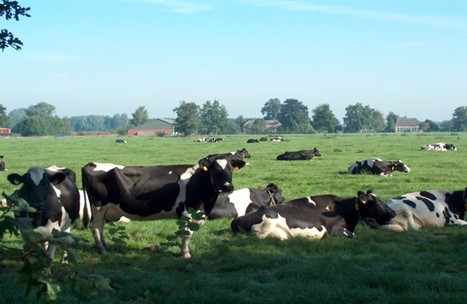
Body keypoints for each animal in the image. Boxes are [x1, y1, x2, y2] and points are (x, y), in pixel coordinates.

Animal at [82, 157, 247, 258]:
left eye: (231, 169)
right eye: (216, 170)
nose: (228, 187)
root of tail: (90, 164)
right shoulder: (186, 212)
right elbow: (186, 234)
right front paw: (185, 254)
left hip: (103, 210)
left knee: (100, 227)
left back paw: (104, 245)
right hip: (99, 206)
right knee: (95, 227)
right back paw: (102, 250)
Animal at [230, 190, 394, 240]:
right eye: (376, 203)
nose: (393, 213)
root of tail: (235, 220)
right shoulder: (335, 230)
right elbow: (353, 235)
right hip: (270, 218)